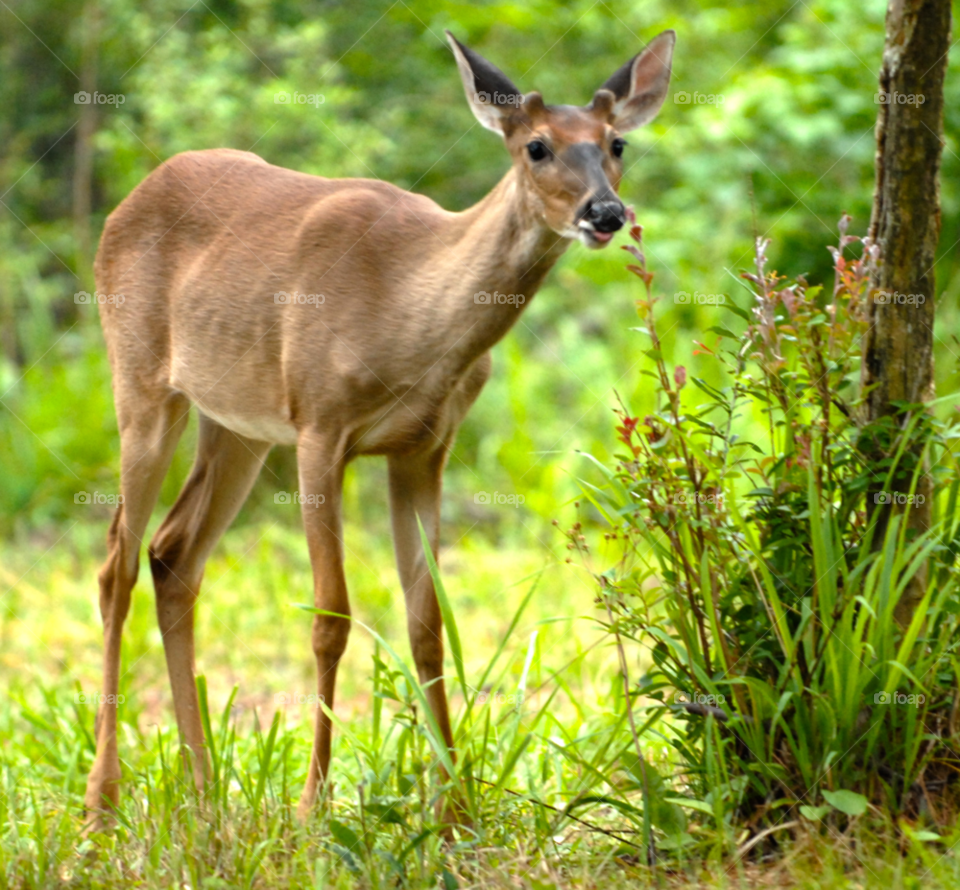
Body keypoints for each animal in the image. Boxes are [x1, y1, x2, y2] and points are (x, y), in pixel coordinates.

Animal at [84, 27, 676, 824]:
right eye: (537, 147)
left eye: (616, 143)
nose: (605, 213)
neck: (408, 311)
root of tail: (127, 202)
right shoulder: (318, 425)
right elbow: (330, 617)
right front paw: (313, 806)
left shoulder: (423, 448)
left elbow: (428, 625)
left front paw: (455, 812)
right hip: (142, 380)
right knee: (116, 561)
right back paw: (103, 802)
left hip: (236, 422)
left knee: (173, 553)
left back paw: (204, 795)